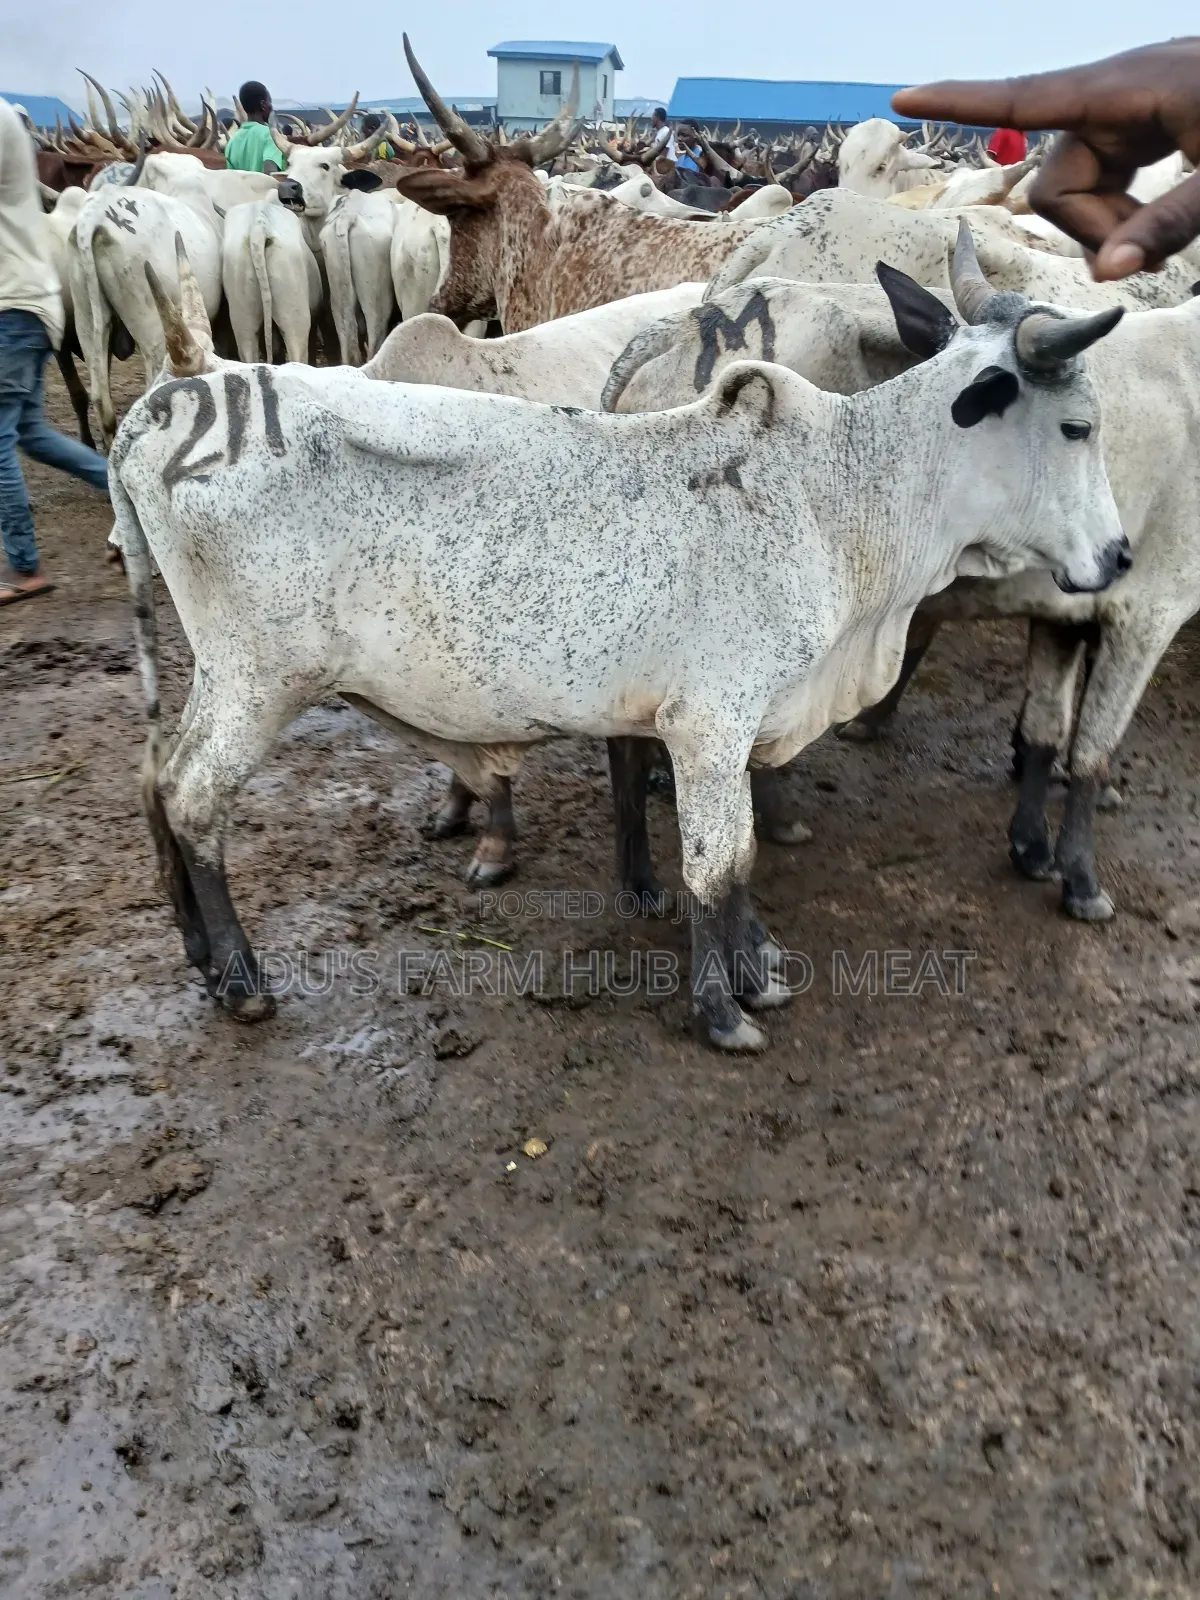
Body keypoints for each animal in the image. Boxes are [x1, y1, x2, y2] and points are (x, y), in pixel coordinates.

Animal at [110, 230, 1126, 1052]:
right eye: (1077, 426)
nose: (1118, 556)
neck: (840, 496)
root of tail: (166, 406)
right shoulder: (710, 723)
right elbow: (719, 861)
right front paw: (722, 1010)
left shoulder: (737, 725)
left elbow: (738, 854)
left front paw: (759, 966)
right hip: (259, 678)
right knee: (193, 794)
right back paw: (240, 979)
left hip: (219, 675)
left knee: (155, 776)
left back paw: (199, 953)